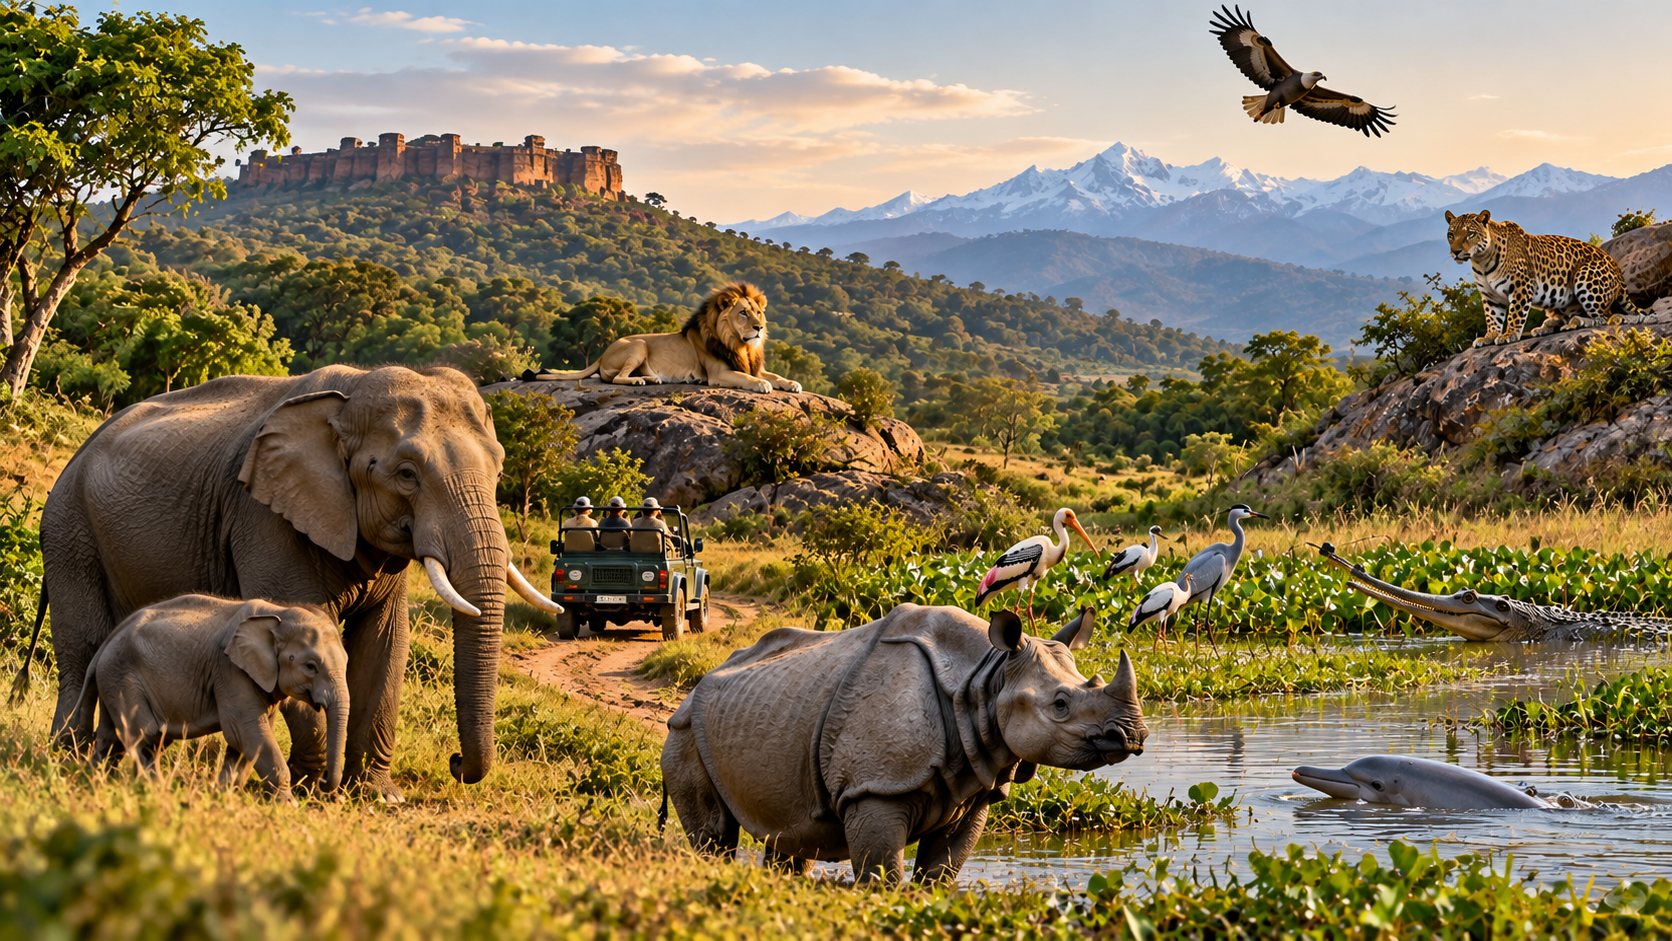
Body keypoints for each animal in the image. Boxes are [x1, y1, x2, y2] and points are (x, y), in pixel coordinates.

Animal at [1445, 209, 1648, 348]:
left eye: (1470, 234)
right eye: (1451, 235)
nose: (1456, 252)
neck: (1481, 260)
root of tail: (1619, 272)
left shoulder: (1521, 286)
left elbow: (1515, 314)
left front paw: (1509, 334)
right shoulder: (1489, 296)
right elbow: (1492, 317)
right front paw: (1489, 336)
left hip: (1585, 276)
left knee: (1607, 316)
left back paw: (1579, 322)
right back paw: (1547, 326)